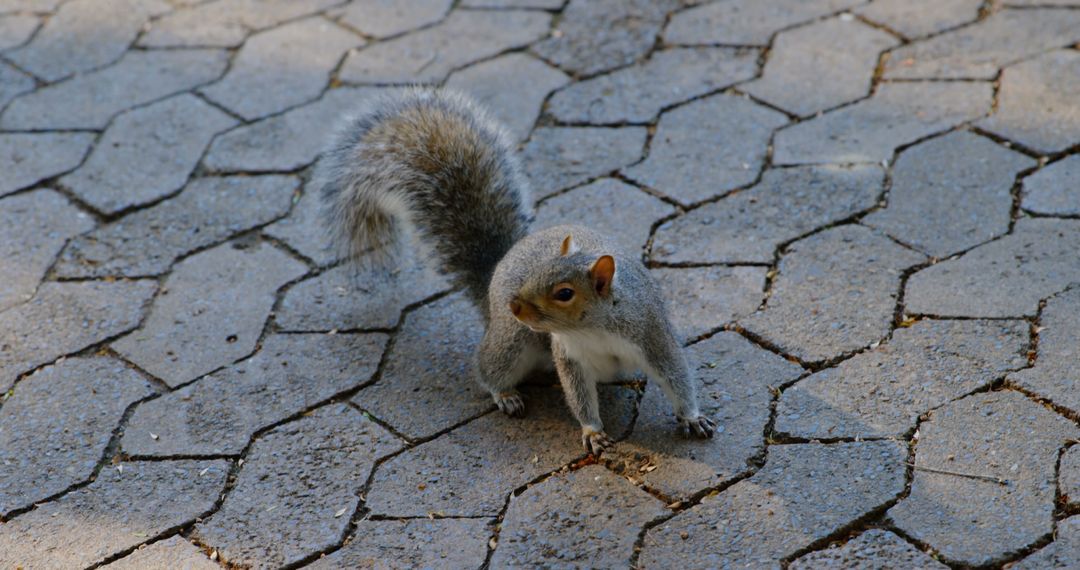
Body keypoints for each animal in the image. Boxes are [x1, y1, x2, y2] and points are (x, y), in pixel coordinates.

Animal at [315, 87, 714, 454]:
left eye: (564, 293)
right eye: (536, 272)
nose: (515, 305)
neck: (594, 328)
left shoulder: (652, 335)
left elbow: (676, 375)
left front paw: (692, 417)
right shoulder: (569, 356)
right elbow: (578, 395)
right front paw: (591, 430)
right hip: (511, 341)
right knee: (488, 367)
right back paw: (505, 394)